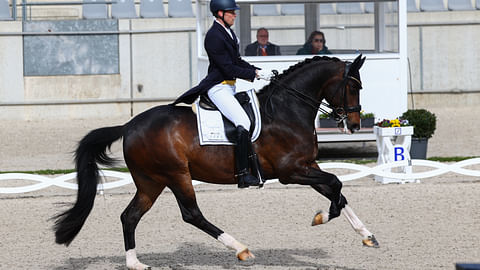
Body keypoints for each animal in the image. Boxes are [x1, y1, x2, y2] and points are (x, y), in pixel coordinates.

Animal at [53, 54, 376, 270]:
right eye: (354, 86)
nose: (355, 124)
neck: (287, 110)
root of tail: (130, 125)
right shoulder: (291, 171)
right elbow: (336, 184)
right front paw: (322, 217)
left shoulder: (308, 166)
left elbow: (337, 190)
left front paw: (367, 235)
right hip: (176, 175)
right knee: (192, 214)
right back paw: (241, 249)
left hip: (151, 182)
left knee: (129, 216)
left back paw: (135, 263)